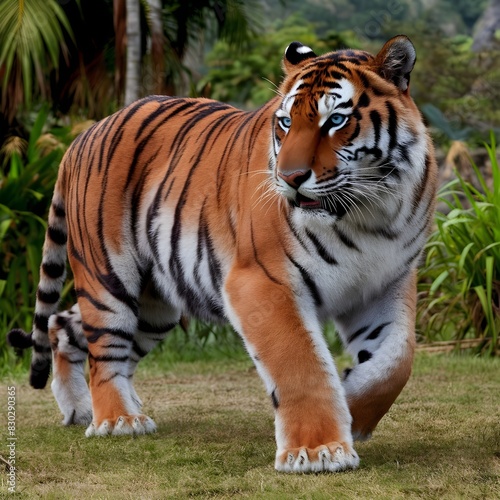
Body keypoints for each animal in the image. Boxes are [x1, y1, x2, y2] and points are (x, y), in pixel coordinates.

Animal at [8, 35, 438, 472]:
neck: (368, 212)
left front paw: (352, 406)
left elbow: (395, 361)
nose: (290, 178)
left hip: (154, 304)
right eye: (286, 123)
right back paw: (117, 420)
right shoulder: (262, 281)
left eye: (335, 121)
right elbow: (301, 364)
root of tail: (83, 135)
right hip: (109, 279)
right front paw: (318, 450)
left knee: (63, 325)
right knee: (104, 352)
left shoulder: (386, 281)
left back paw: (84, 410)